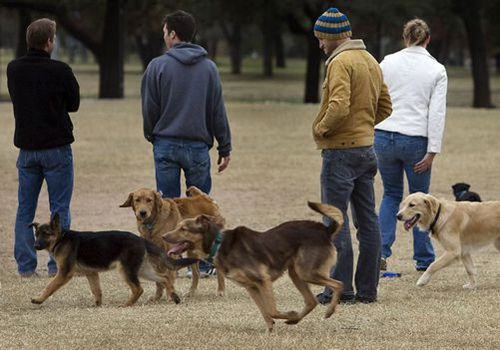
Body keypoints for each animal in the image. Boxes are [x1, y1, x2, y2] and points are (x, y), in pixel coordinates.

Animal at [163, 201, 344, 332]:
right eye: (177, 226)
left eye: (183, 229)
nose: (163, 236)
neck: (218, 243)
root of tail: (325, 230)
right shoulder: (252, 287)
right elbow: (266, 313)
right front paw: (272, 329)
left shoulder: (263, 280)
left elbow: (271, 310)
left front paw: (288, 314)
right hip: (296, 274)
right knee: (311, 301)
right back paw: (294, 320)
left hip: (307, 272)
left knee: (338, 284)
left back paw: (329, 311)